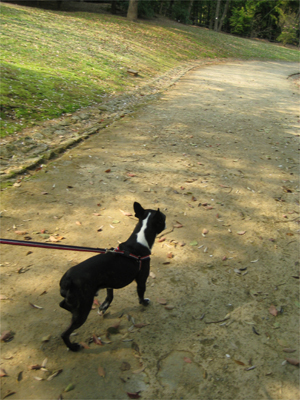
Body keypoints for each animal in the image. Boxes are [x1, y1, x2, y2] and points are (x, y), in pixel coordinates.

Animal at [58, 202, 166, 352]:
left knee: (63, 304)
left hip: (76, 300)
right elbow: (141, 293)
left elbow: (110, 296)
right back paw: (73, 347)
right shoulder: (141, 279)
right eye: (163, 218)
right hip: (84, 306)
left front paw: (103, 308)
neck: (139, 241)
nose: (166, 222)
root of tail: (67, 279)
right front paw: (144, 302)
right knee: (65, 333)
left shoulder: (109, 281)